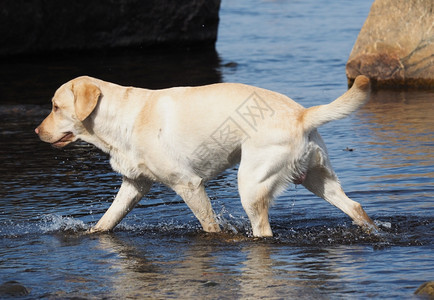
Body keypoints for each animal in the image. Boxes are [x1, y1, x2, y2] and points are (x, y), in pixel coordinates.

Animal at [35, 75, 376, 237]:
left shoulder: (189, 184)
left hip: (251, 184)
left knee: (263, 230)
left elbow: (210, 226)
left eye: (55, 107)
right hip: (318, 179)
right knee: (356, 207)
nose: (37, 131)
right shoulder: (134, 185)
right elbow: (107, 220)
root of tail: (301, 114)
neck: (122, 117)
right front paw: (90, 233)